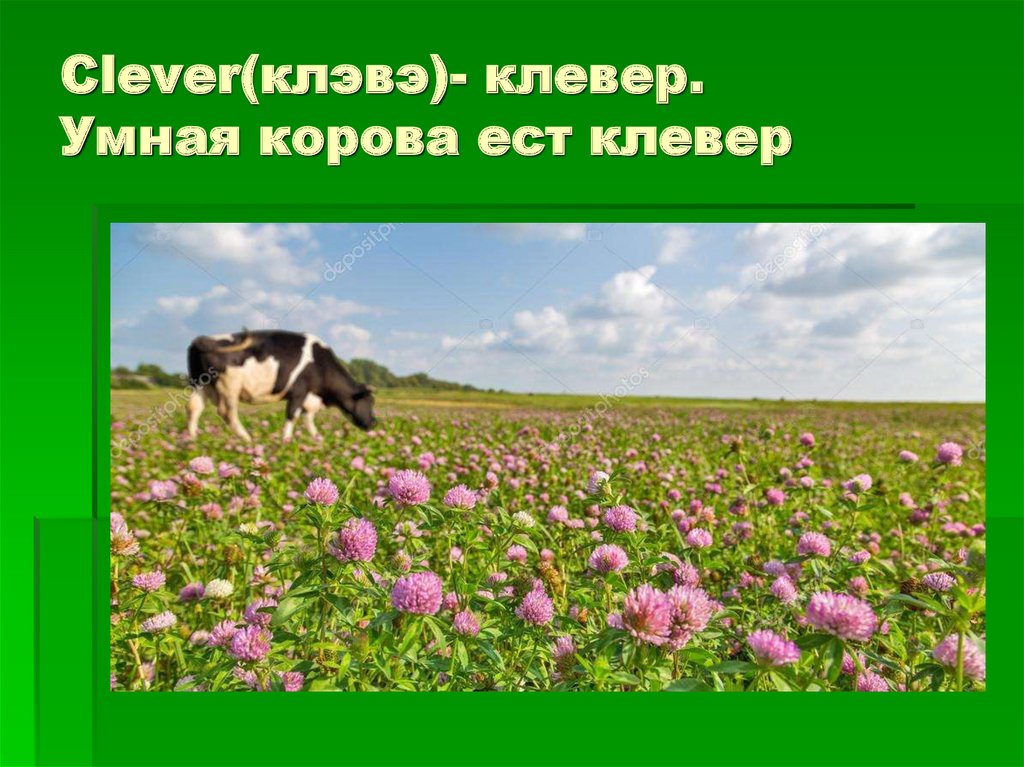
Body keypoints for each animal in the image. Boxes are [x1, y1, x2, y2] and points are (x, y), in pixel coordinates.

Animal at [186, 329, 376, 442]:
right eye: (369, 402)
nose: (374, 423)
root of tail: (200, 340)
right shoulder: (299, 390)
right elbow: (292, 415)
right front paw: (286, 441)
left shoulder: (309, 397)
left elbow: (308, 419)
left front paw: (317, 438)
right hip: (230, 386)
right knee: (228, 413)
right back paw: (248, 440)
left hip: (200, 383)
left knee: (194, 407)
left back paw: (192, 439)